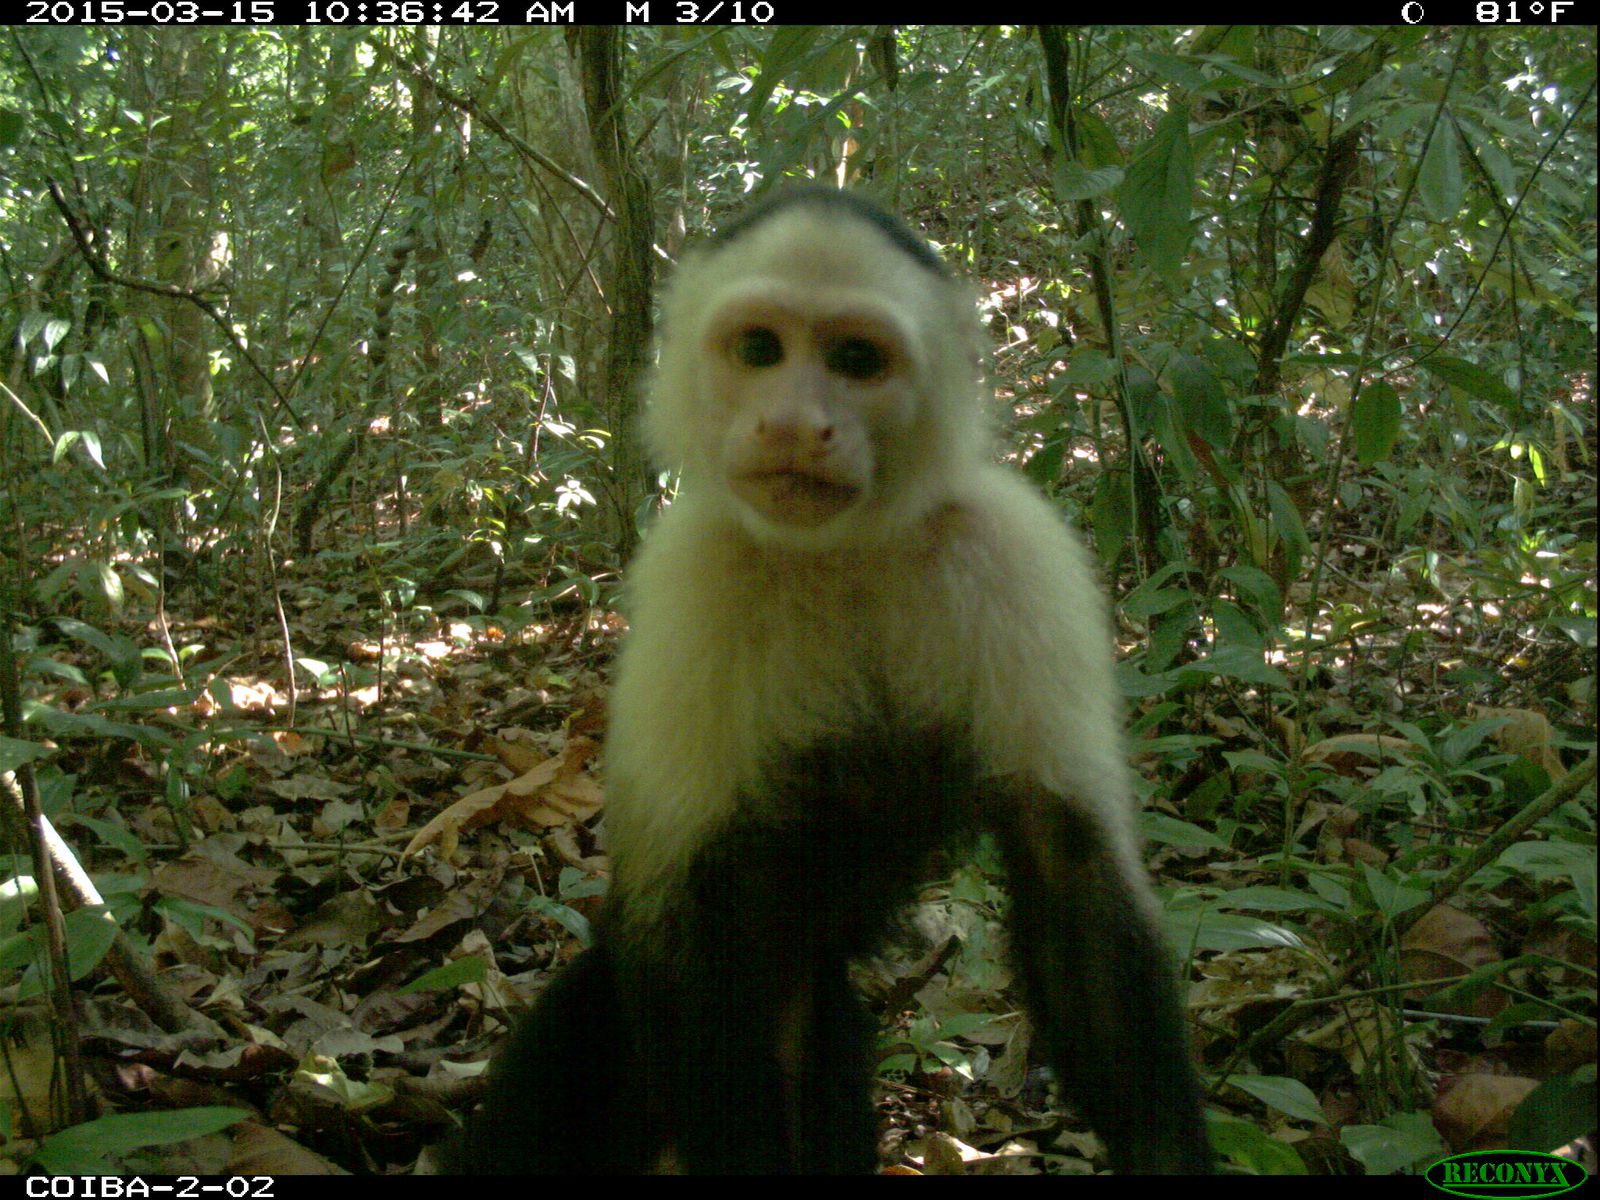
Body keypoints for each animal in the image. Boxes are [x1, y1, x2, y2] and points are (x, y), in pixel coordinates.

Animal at [450, 187, 1211, 1175]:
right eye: (760, 350)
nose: (791, 424)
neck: (839, 554)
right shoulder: (694, 576)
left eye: (855, 360)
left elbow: (1070, 873)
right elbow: (688, 930)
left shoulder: (1015, 552)